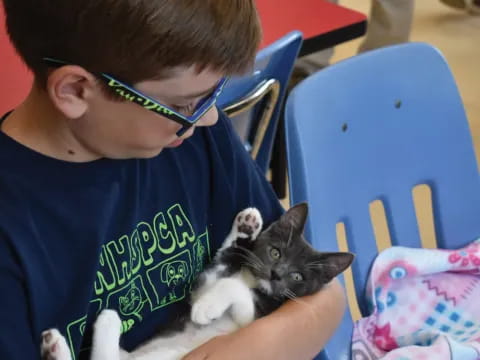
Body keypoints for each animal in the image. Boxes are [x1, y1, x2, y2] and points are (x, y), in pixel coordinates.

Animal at [41, 202, 354, 360]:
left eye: (297, 277)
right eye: (275, 252)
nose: (276, 274)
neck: (253, 280)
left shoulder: (253, 316)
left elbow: (232, 288)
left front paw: (206, 309)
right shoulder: (205, 281)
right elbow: (224, 261)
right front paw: (247, 227)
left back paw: (93, 328)